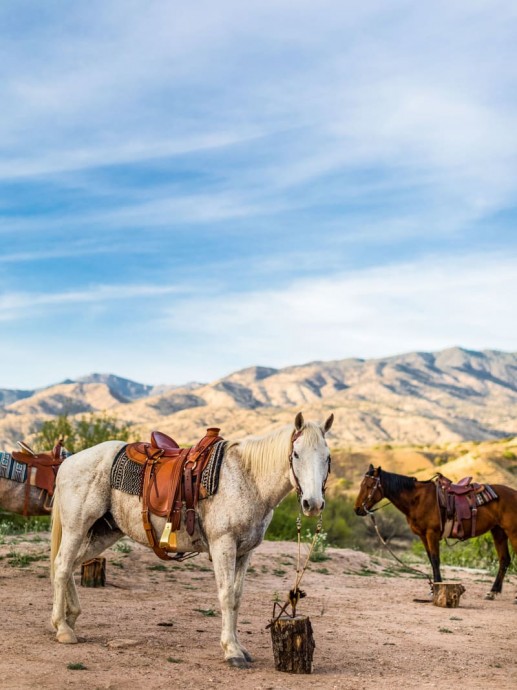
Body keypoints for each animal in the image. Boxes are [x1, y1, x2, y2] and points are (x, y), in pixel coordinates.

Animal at [50, 412, 332, 664]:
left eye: (327, 457)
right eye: (296, 454)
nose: (313, 504)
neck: (248, 478)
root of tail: (68, 462)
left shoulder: (245, 551)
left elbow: (237, 597)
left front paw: (239, 647)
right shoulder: (223, 545)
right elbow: (226, 596)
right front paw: (231, 651)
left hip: (104, 532)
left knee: (72, 565)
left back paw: (71, 619)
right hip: (76, 527)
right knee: (62, 566)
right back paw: (62, 628)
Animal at [354, 464, 516, 600]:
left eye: (369, 485)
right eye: (361, 484)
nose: (357, 509)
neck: (417, 499)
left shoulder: (432, 534)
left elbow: (436, 559)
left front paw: (437, 588)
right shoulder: (423, 536)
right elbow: (431, 561)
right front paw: (433, 589)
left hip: (512, 532)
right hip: (498, 532)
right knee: (504, 560)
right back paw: (492, 592)